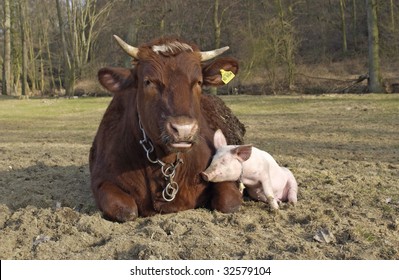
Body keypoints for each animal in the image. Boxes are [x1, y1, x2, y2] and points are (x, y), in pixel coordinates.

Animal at [90, 36, 245, 222]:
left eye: (199, 81)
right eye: (148, 81)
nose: (184, 129)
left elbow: (228, 202)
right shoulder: (101, 180)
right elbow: (126, 210)